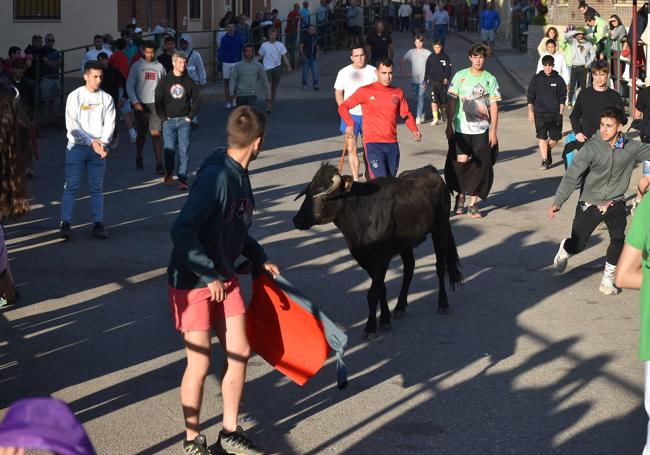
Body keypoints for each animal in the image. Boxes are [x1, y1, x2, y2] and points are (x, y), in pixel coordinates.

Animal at [294, 164, 460, 338]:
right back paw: (400, 306)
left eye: (322, 196)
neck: (360, 215)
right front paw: (385, 319)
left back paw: (443, 303)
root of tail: (431, 169)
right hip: (406, 243)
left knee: (440, 267)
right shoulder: (366, 260)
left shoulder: (381, 259)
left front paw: (370, 328)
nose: (296, 221)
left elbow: (373, 293)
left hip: (440, 228)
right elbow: (381, 288)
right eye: (308, 192)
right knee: (409, 268)